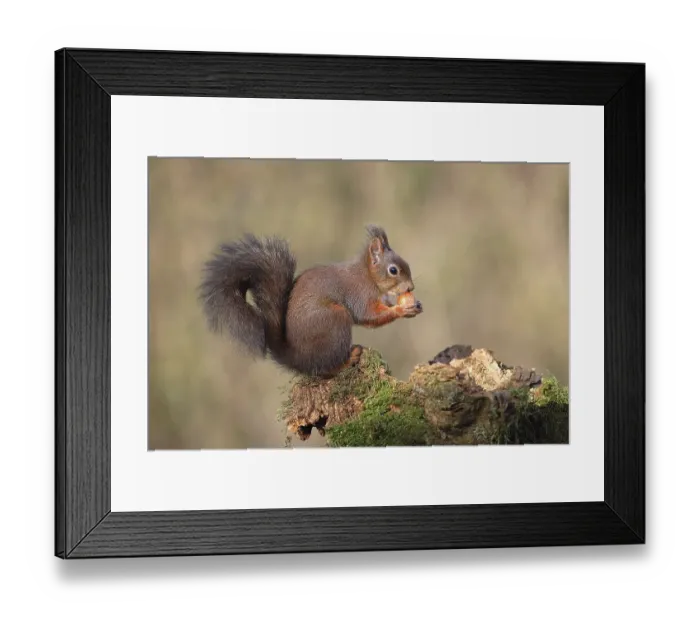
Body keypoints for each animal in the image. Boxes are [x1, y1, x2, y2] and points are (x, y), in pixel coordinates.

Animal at [199, 225, 423, 378]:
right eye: (393, 270)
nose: (410, 288)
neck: (368, 275)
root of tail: (297, 357)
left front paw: (412, 305)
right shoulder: (360, 294)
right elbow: (368, 316)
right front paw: (401, 310)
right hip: (335, 318)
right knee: (324, 369)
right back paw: (347, 360)